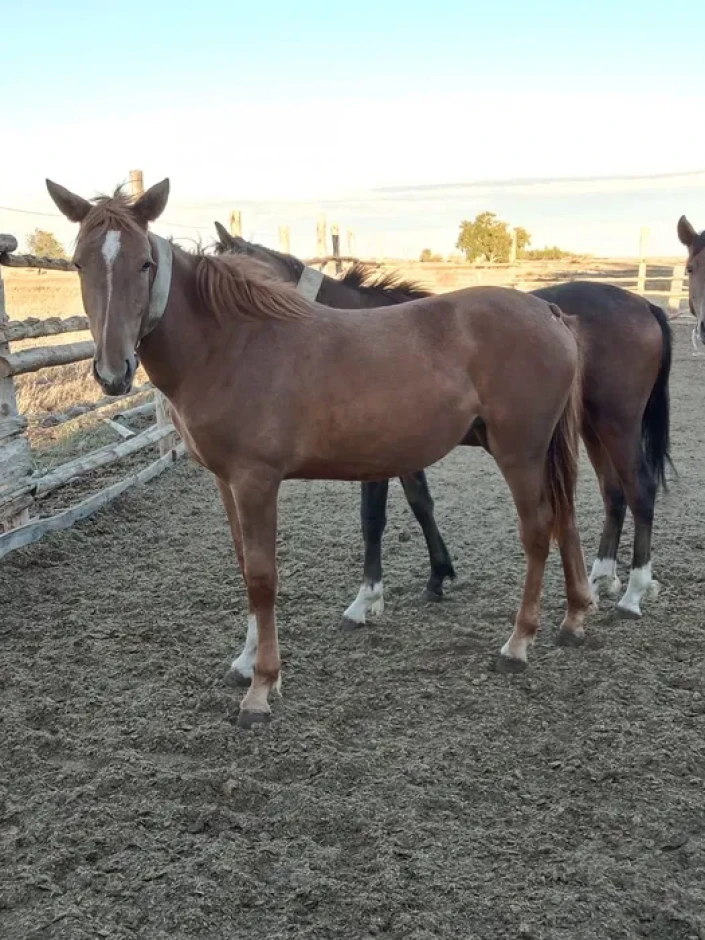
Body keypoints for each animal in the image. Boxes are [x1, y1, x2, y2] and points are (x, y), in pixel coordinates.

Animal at [47, 177, 594, 728]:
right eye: (78, 263)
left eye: (145, 263)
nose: (113, 371)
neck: (229, 345)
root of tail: (548, 311)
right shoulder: (227, 482)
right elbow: (244, 565)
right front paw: (246, 662)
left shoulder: (256, 481)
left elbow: (263, 577)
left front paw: (262, 687)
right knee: (563, 517)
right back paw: (572, 620)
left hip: (519, 451)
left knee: (537, 531)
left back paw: (518, 644)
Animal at [213, 226, 672, 668]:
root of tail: (642, 305)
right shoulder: (397, 450)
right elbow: (420, 503)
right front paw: (437, 575)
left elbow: (373, 518)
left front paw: (367, 599)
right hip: (591, 430)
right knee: (612, 495)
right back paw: (602, 578)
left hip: (616, 425)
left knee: (639, 491)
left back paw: (633, 591)